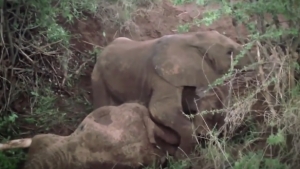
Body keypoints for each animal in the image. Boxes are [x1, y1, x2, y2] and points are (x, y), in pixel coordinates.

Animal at [90, 30, 254, 158]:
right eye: (229, 52)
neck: (192, 38)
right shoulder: (162, 76)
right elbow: (160, 109)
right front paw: (182, 157)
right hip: (98, 76)